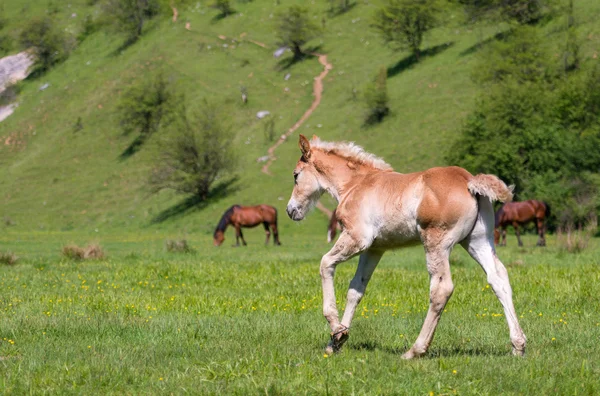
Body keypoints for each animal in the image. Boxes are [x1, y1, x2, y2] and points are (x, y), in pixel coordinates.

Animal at [286, 135, 524, 358]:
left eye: (296, 175)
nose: (291, 210)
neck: (355, 185)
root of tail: (468, 179)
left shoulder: (357, 238)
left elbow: (325, 264)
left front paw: (335, 327)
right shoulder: (374, 249)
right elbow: (356, 289)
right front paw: (337, 340)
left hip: (436, 244)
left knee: (441, 289)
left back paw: (415, 350)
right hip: (478, 241)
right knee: (498, 278)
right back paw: (518, 345)